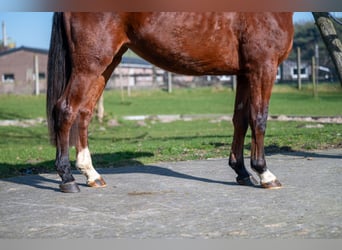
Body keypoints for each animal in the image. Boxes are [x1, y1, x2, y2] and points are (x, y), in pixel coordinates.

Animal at [47, 12, 294, 193]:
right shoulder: (262, 67)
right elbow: (259, 118)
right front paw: (265, 174)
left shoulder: (245, 73)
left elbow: (240, 120)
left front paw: (241, 172)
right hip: (90, 64)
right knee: (66, 110)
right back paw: (67, 178)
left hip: (105, 64)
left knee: (84, 113)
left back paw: (91, 174)